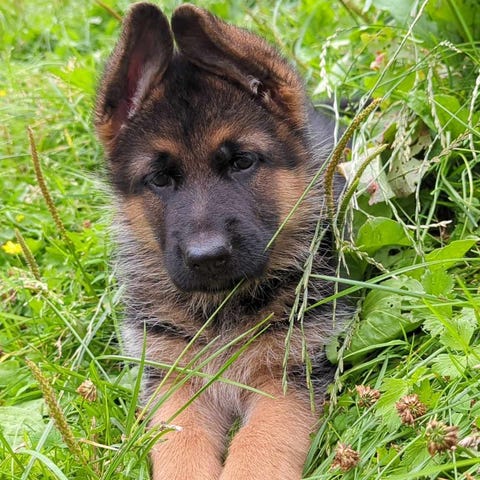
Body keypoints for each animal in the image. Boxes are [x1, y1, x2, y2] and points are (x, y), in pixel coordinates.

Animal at [95, 3, 348, 479]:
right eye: (160, 179)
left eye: (242, 162)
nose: (207, 257)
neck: (221, 308)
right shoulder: (174, 381)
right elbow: (180, 447)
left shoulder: (290, 375)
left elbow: (258, 446)